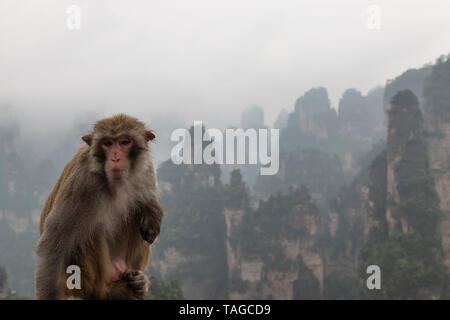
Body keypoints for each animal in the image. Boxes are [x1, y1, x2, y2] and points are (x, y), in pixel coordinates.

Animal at [35, 114, 164, 300]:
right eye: (107, 143)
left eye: (125, 142)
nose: (115, 158)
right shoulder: (83, 182)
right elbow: (55, 243)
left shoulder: (145, 166)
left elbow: (146, 201)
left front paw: (153, 213)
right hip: (82, 278)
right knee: (92, 230)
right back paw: (108, 291)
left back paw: (136, 282)